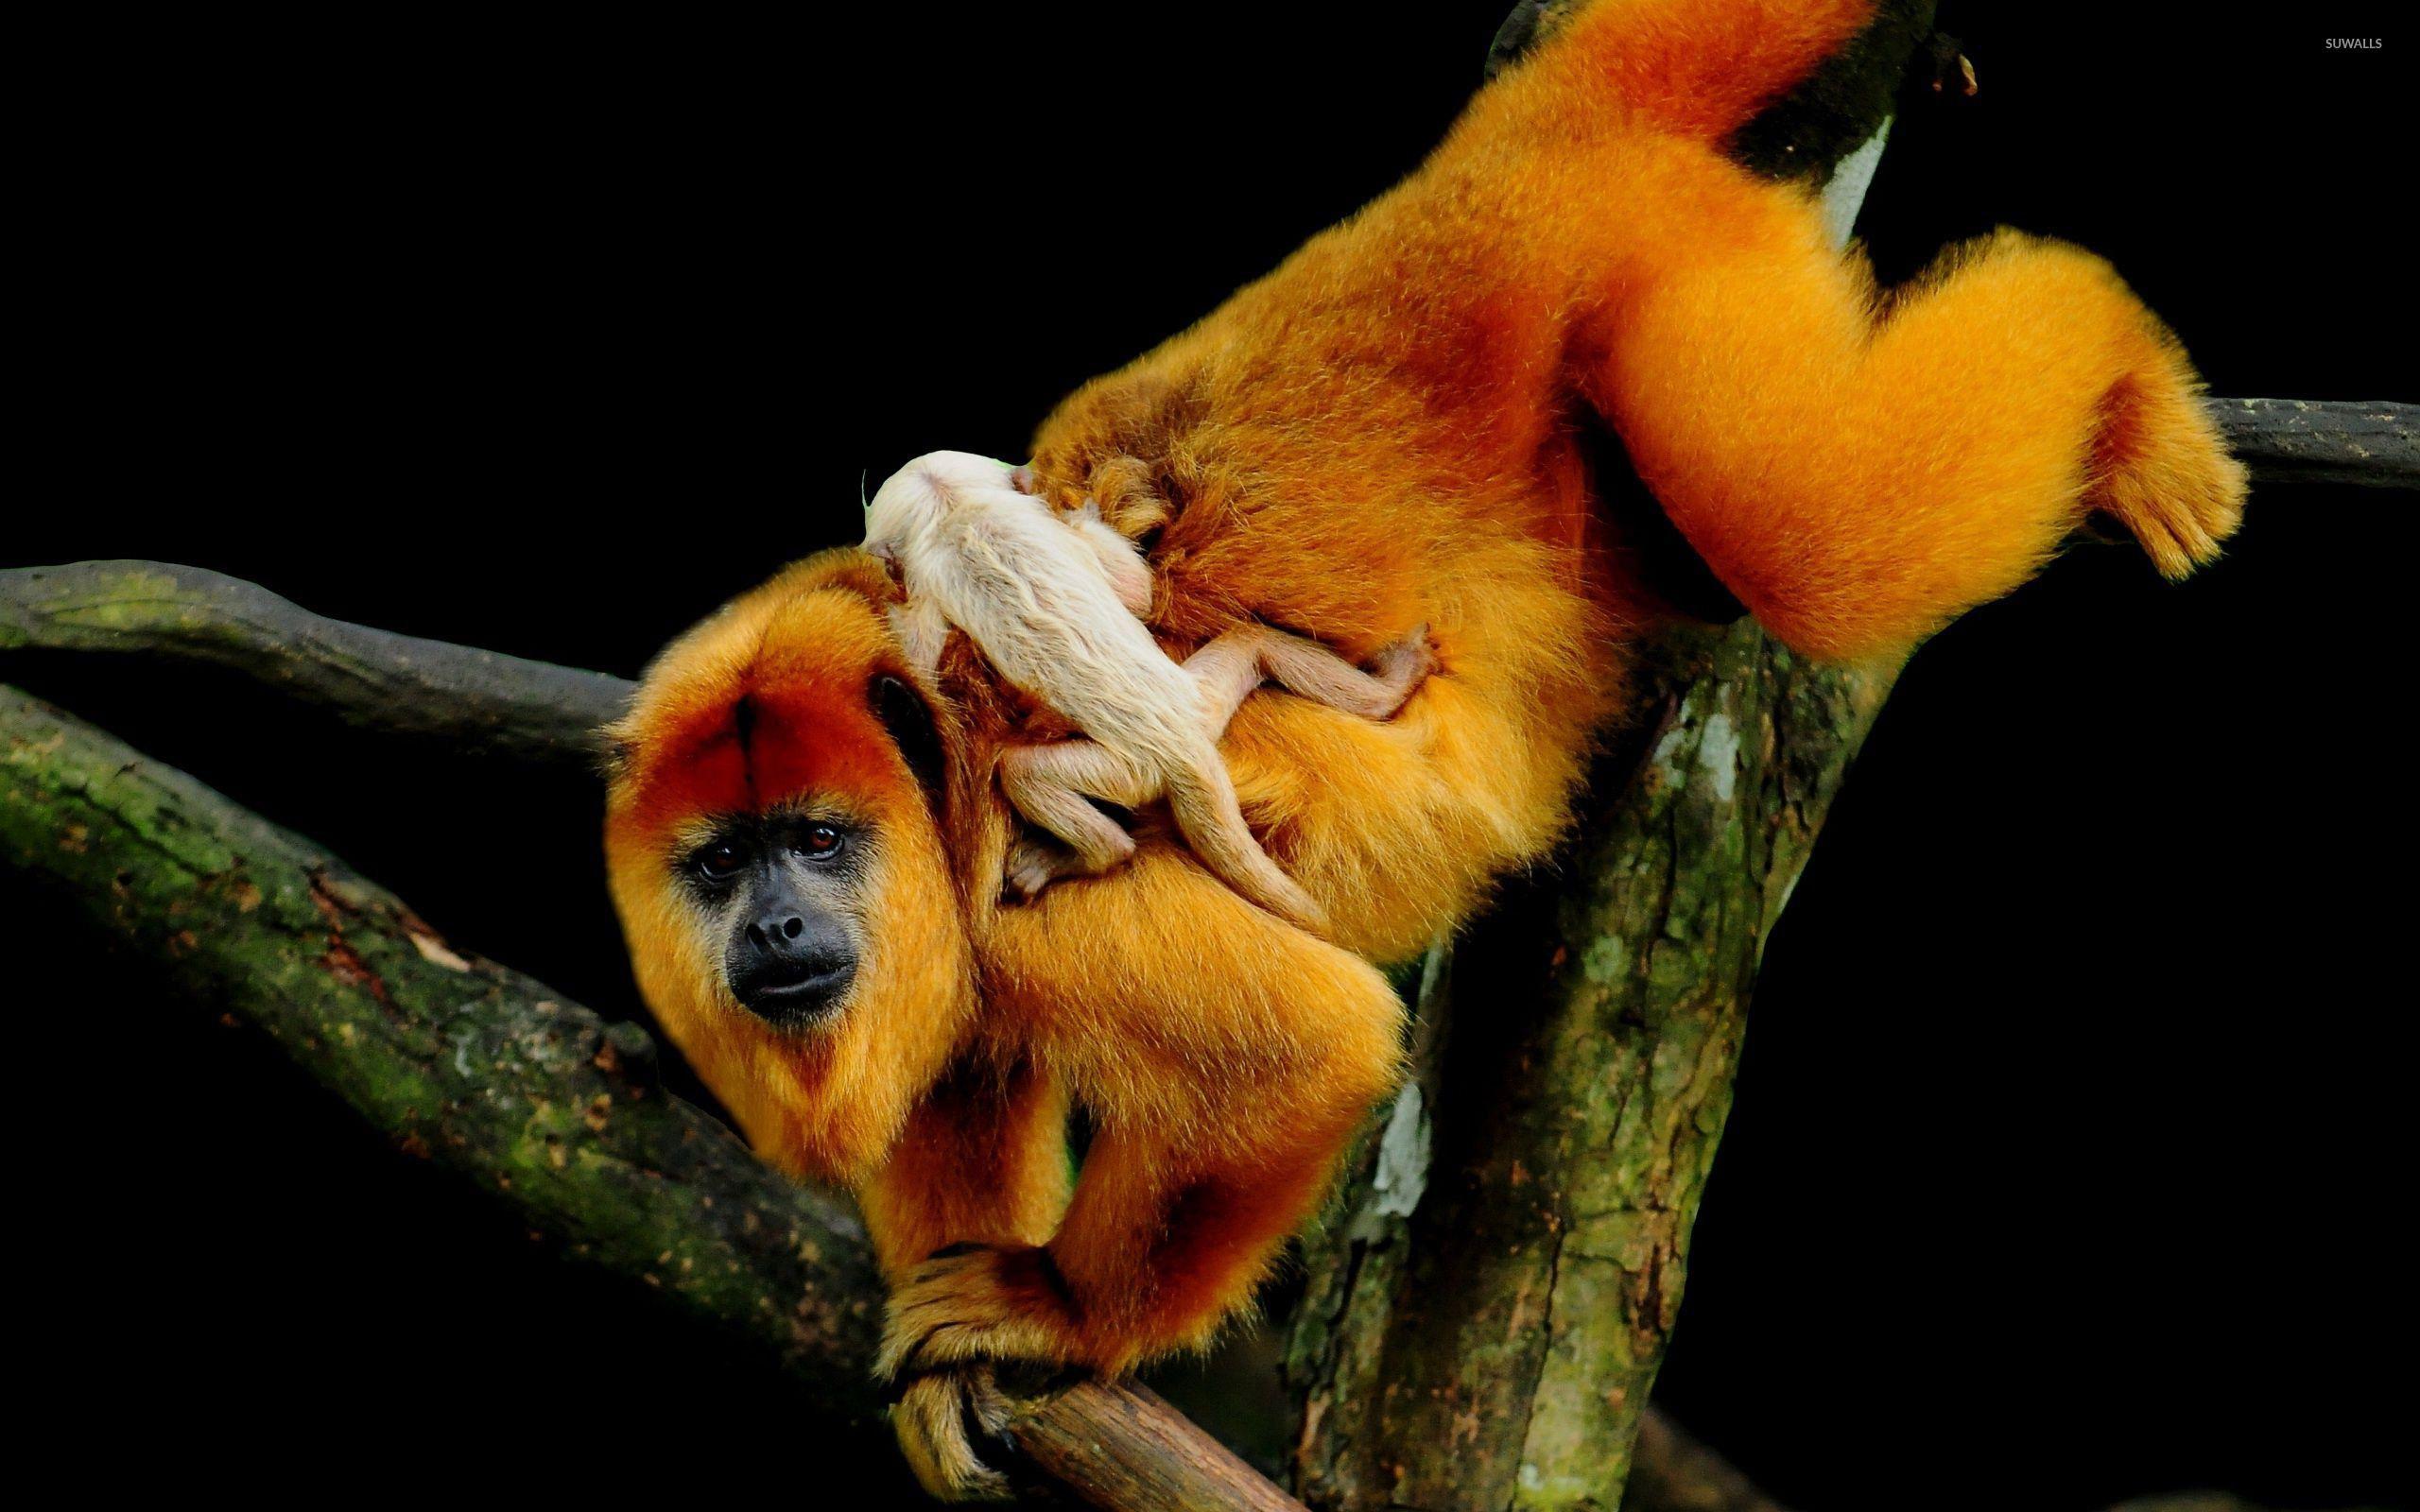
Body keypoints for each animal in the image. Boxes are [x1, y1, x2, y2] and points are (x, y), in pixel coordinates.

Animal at [861, 449, 1436, 925]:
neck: (952, 506)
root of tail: (1188, 750)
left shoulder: (934, 574)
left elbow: (926, 662)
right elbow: (1137, 594)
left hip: (1132, 771)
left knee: (1023, 772)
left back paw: (1091, 854)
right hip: (1203, 698)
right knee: (1253, 642)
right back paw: (1394, 685)